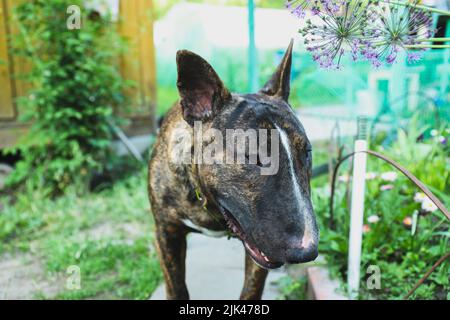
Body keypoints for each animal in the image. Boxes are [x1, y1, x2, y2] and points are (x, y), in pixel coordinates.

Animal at [149, 40, 318, 300]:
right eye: (254, 157)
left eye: (307, 152)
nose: (307, 251)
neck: (208, 205)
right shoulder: (166, 232)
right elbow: (176, 288)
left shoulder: (257, 248)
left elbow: (251, 290)